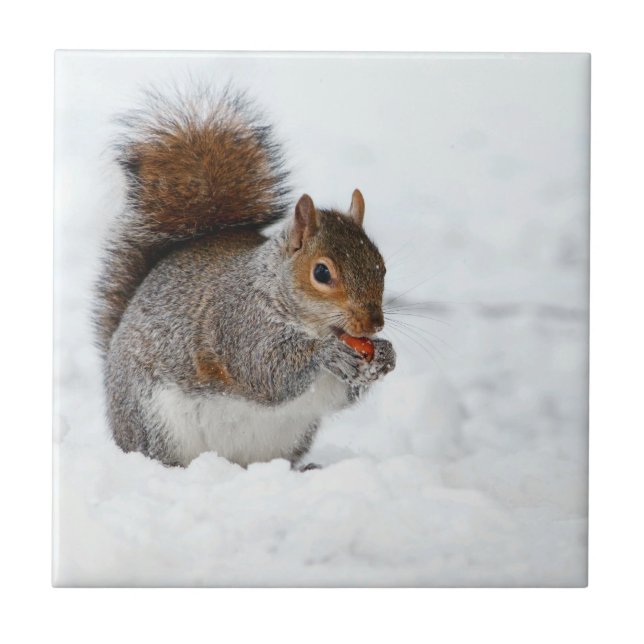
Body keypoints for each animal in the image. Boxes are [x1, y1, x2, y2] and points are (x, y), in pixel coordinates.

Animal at [94, 87, 396, 469]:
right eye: (322, 272)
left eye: (381, 266)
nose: (374, 324)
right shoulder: (238, 324)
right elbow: (266, 371)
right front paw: (326, 353)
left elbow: (340, 395)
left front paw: (386, 355)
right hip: (154, 421)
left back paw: (302, 469)